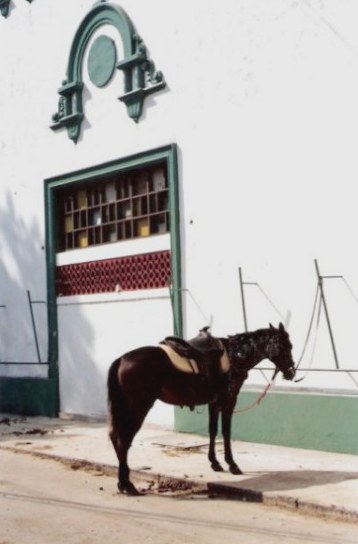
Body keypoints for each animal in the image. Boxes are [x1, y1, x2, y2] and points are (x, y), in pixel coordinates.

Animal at [107, 326, 296, 496]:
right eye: (286, 346)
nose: (291, 371)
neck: (235, 355)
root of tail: (121, 359)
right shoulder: (229, 400)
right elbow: (226, 431)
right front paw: (232, 464)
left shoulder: (214, 402)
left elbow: (212, 430)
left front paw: (215, 463)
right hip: (138, 407)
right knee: (123, 440)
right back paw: (128, 485)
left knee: (116, 438)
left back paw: (123, 483)